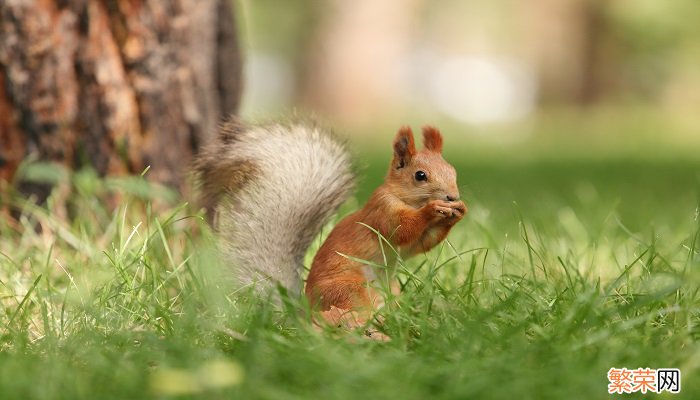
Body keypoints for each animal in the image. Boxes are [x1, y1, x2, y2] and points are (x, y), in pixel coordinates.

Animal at [194, 119, 468, 338]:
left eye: (453, 171)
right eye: (420, 175)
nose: (452, 196)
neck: (404, 198)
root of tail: (305, 309)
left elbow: (420, 244)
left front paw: (457, 214)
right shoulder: (381, 211)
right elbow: (402, 230)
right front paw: (432, 209)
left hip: (389, 288)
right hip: (349, 290)